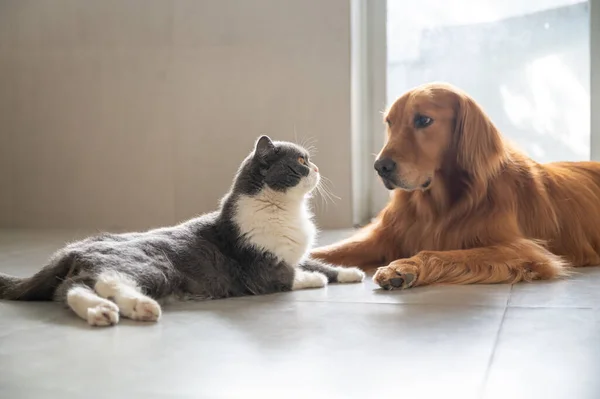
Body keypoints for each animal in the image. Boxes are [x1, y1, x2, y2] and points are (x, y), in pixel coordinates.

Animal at [0, 138, 366, 328]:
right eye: (301, 161)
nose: (316, 167)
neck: (287, 210)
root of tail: (71, 249)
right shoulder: (263, 269)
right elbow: (295, 275)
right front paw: (315, 279)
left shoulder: (296, 254)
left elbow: (318, 262)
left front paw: (352, 272)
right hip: (153, 267)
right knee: (107, 281)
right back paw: (140, 307)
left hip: (91, 275)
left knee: (71, 290)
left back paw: (102, 312)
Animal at [312, 82, 600, 290]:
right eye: (390, 122)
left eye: (423, 120)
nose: (380, 166)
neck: (438, 204)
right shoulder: (385, 236)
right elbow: (326, 251)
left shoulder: (524, 249)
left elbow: (442, 253)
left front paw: (402, 267)